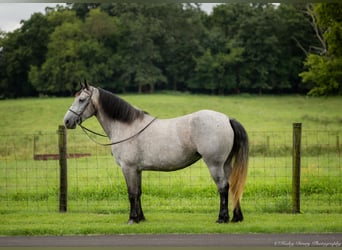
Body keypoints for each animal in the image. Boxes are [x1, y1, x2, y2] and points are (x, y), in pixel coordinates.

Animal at [63, 82, 248, 225]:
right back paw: (236, 217)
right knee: (233, 186)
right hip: (225, 164)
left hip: (214, 164)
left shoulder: (128, 168)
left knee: (223, 187)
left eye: (81, 99)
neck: (127, 127)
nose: (67, 121)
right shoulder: (137, 170)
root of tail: (227, 119)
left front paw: (132, 219)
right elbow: (138, 193)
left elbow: (131, 193)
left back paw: (222, 218)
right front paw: (141, 218)